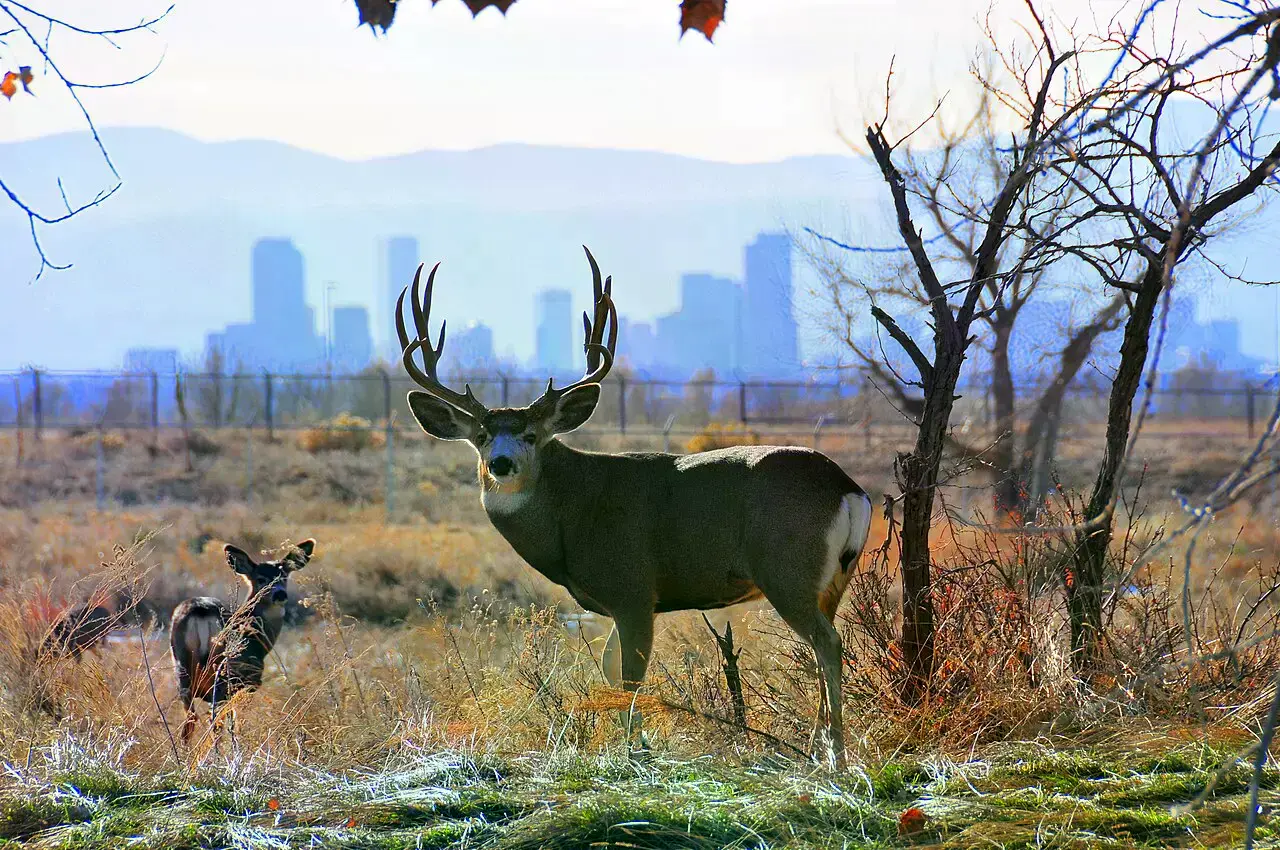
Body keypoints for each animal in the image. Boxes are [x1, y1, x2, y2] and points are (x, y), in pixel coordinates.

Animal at [169, 539, 315, 743]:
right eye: (261, 579)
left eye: (284, 577)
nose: (280, 594)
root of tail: (201, 609)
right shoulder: (250, 680)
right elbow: (237, 721)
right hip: (225, 673)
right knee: (214, 721)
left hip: (180, 664)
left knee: (190, 719)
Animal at [395, 249, 873, 769]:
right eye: (482, 436)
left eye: (531, 435)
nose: (501, 463)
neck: (571, 515)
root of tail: (848, 488)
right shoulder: (619, 601)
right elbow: (609, 668)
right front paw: (636, 742)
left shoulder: (633, 588)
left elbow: (629, 676)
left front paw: (632, 751)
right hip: (833, 579)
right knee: (826, 644)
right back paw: (818, 746)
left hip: (787, 569)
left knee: (828, 643)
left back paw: (836, 755)